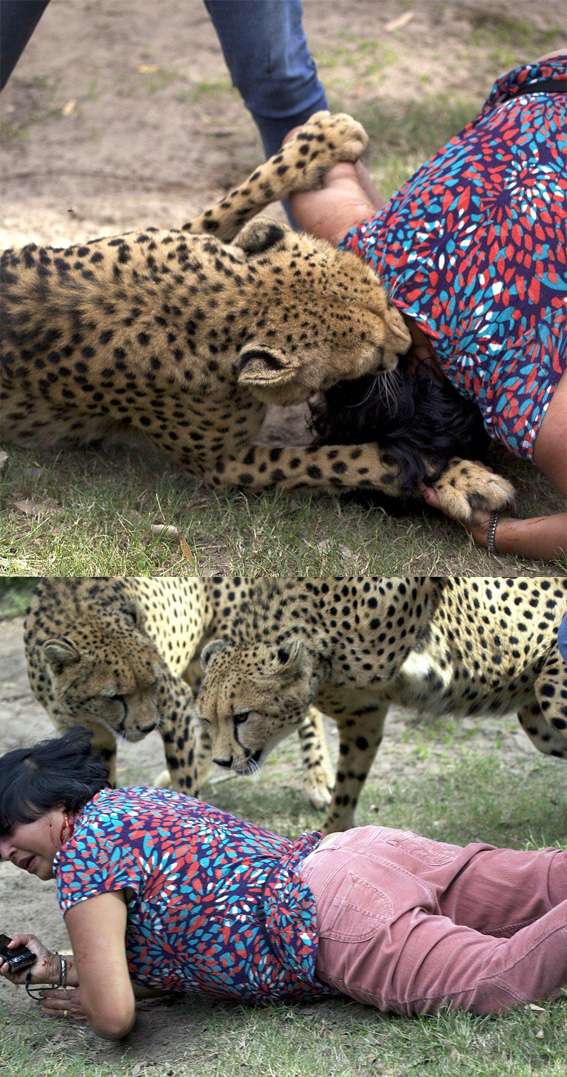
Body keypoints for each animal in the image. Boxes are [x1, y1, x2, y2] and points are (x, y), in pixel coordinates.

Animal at [1, 111, 515, 523]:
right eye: (370, 354)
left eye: (381, 294)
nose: (408, 343)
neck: (217, 300)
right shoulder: (223, 465)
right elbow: (343, 458)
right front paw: (453, 474)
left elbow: (231, 202)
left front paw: (319, 142)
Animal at [23, 581, 334, 809]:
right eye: (113, 696)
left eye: (152, 683)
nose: (148, 726)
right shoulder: (90, 737)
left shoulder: (174, 704)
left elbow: (183, 773)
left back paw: (318, 779)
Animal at [198, 577, 567, 827]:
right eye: (206, 720)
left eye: (242, 716)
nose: (221, 761)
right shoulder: (364, 715)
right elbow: (347, 787)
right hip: (538, 723)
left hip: (552, 689)